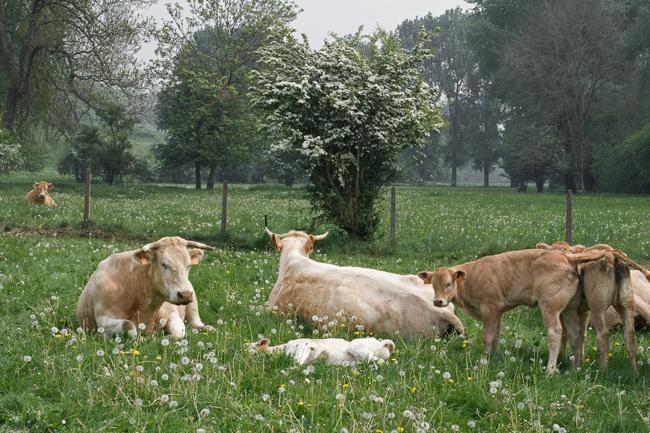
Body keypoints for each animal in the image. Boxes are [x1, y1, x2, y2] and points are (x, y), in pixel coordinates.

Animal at [75, 236, 213, 338]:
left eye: (188, 265)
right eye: (163, 264)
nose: (185, 294)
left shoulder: (173, 314)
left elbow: (179, 333)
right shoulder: (103, 319)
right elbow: (129, 326)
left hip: (193, 302)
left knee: (195, 322)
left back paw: (208, 328)